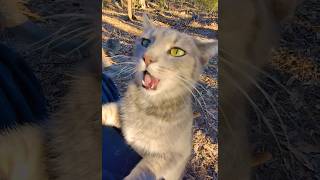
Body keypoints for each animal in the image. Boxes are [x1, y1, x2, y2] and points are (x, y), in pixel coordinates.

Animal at [102, 15, 218, 180]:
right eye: (145, 42)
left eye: (177, 52)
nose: (147, 58)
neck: (146, 106)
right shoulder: (121, 111)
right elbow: (108, 109)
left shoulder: (173, 156)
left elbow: (144, 169)